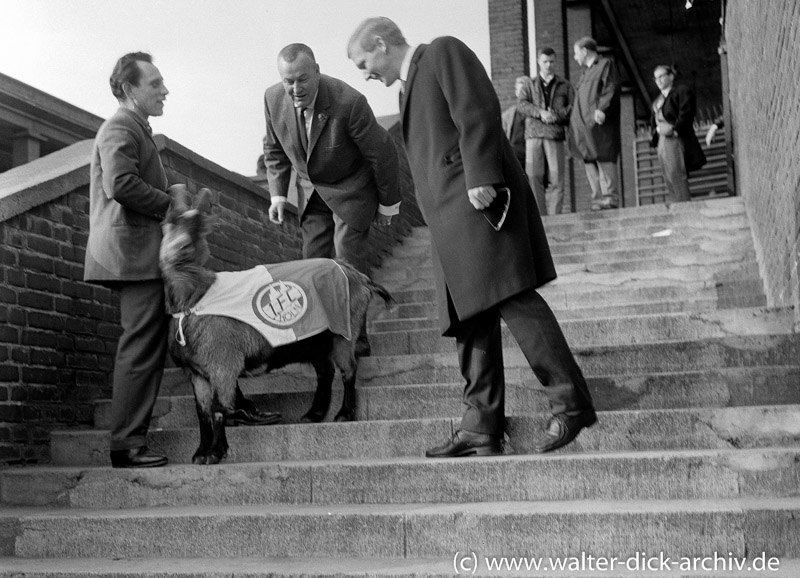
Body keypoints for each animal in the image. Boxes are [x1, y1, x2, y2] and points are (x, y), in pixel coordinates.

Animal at [159, 186, 390, 464]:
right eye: (170, 222)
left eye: (200, 227)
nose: (181, 248)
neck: (196, 301)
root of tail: (360, 277)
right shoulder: (196, 373)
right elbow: (202, 413)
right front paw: (201, 453)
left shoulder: (223, 363)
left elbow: (219, 409)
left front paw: (215, 452)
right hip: (315, 339)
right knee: (325, 371)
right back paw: (313, 414)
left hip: (343, 330)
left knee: (348, 370)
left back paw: (344, 414)